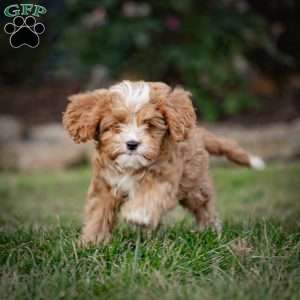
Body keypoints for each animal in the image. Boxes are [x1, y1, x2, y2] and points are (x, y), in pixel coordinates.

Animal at [62, 81, 264, 245]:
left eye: (149, 125)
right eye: (116, 125)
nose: (132, 144)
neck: (131, 167)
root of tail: (198, 132)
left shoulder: (164, 178)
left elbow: (150, 196)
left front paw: (138, 214)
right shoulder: (104, 186)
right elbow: (98, 214)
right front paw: (91, 242)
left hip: (193, 184)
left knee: (204, 206)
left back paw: (210, 230)